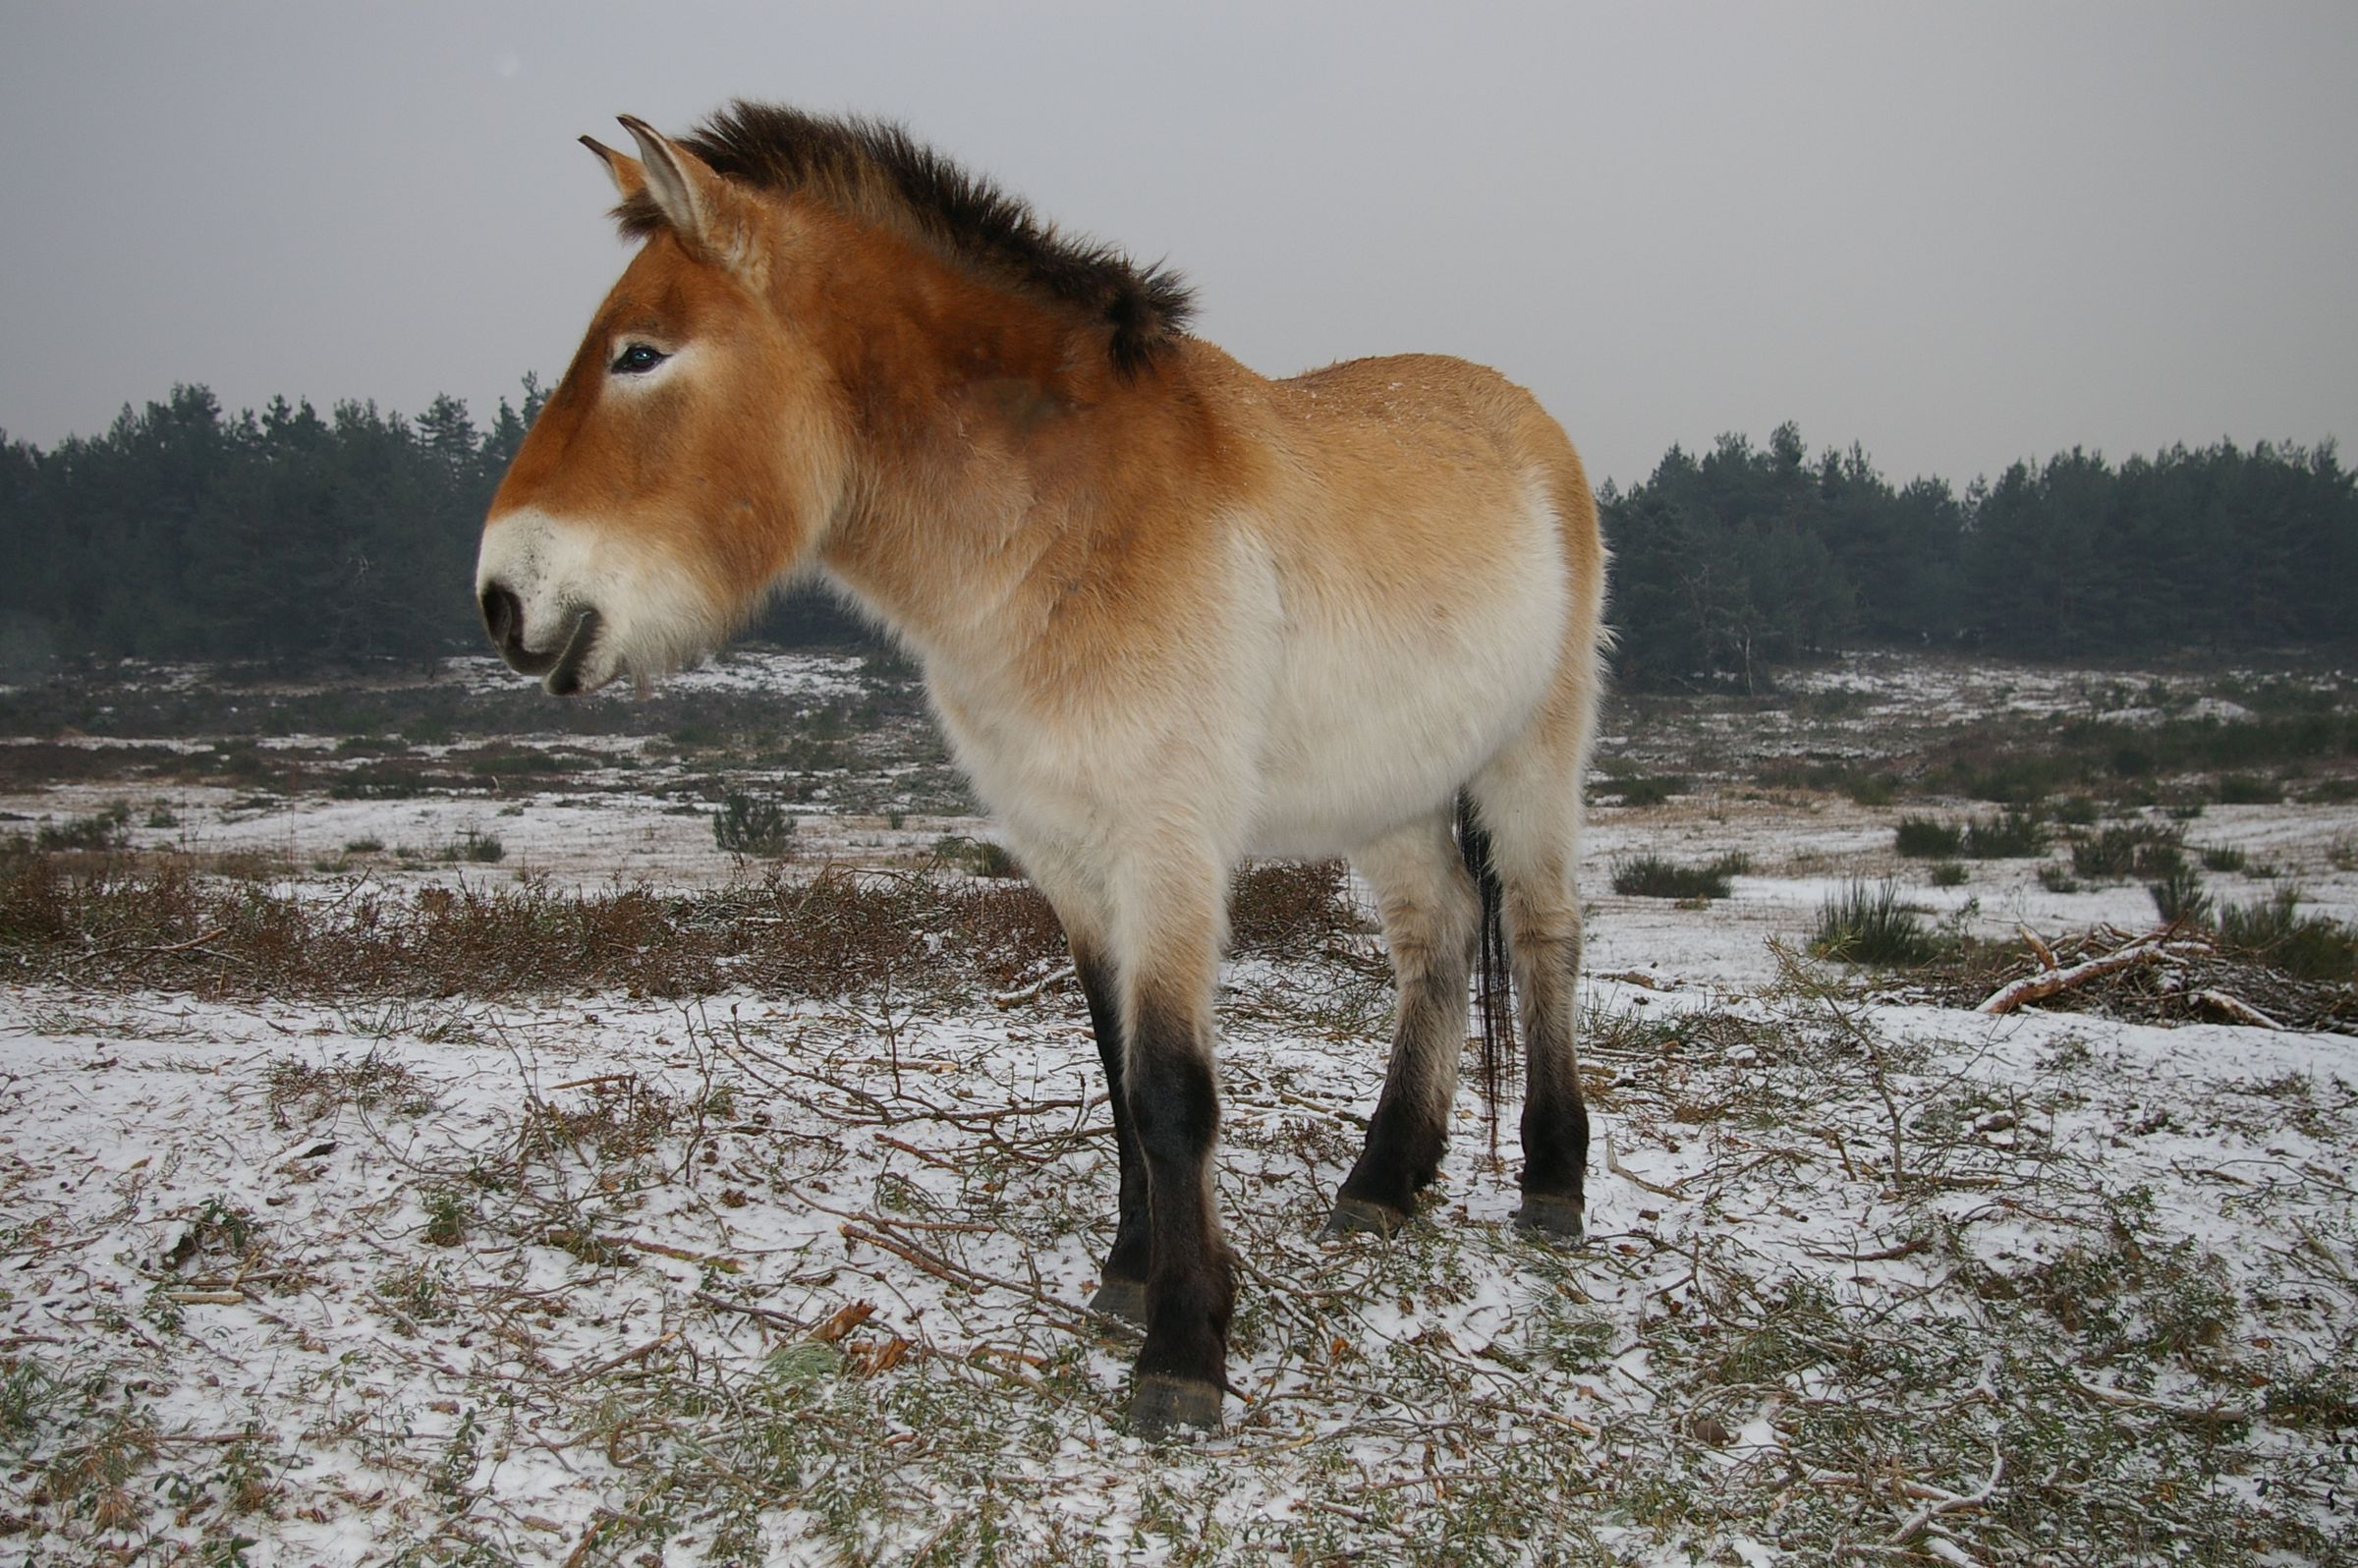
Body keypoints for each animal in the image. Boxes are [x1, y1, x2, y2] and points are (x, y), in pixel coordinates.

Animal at [478, 103, 1622, 1433]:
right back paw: (1383, 1183)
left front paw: (1183, 1353)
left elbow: (1173, 1091)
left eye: (640, 355)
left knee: (1541, 933)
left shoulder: (1167, 847)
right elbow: (1117, 1076)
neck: (1066, 521)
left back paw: (1552, 1186)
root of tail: (1529, 422)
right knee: (1435, 938)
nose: (503, 600)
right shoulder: (1066, 855)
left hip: (1533, 758)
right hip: (1388, 792)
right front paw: (1132, 1277)